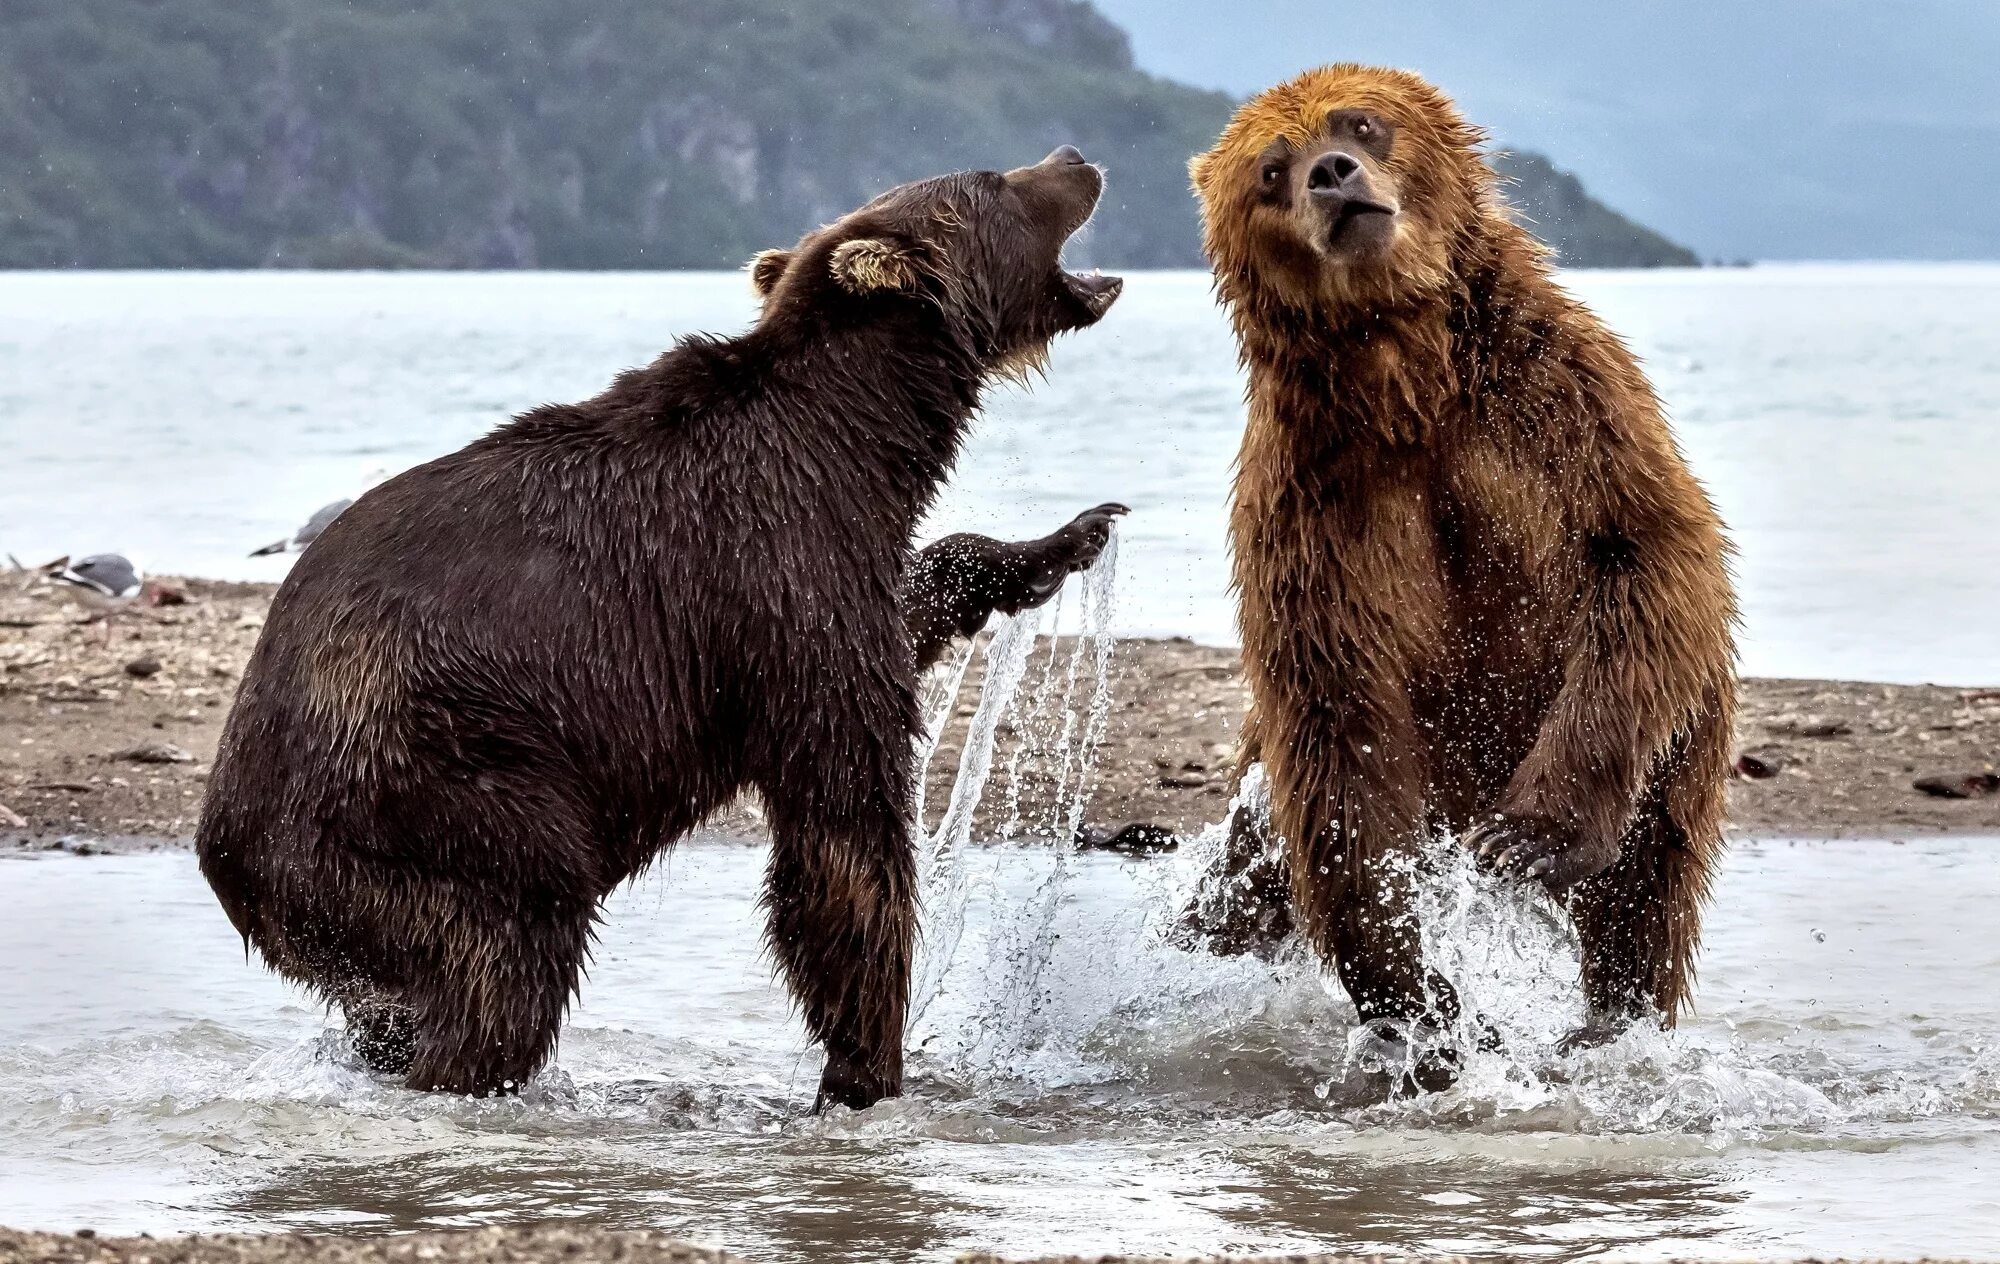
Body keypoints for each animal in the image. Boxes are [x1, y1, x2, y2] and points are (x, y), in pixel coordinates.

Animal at [199, 151, 1128, 1112]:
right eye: (993, 180)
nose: (1076, 161)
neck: (857, 437)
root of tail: (228, 852)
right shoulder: (771, 568)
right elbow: (844, 822)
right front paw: (863, 1065)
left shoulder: (827, 561)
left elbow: (908, 607)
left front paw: (1064, 540)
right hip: (434, 787)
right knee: (512, 946)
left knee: (396, 1003)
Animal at [1184, 61, 1736, 1064]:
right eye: (1271, 172)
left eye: (1360, 123)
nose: (1331, 176)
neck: (1407, 381)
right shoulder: (1314, 507)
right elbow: (1339, 720)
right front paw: (1425, 1001)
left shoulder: (1561, 405)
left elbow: (1643, 553)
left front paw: (1525, 840)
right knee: (1246, 881)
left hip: (1682, 749)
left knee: (1648, 884)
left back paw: (1613, 1016)